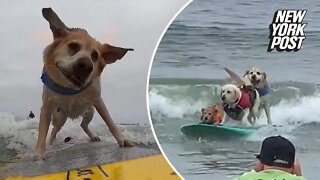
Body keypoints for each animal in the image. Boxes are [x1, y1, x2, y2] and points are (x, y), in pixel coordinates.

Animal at [34, 8, 134, 160]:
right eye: (73, 46)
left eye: (95, 56)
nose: (86, 66)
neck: (70, 88)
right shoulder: (47, 105)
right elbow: (42, 131)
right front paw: (39, 153)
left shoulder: (98, 101)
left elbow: (110, 123)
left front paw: (122, 140)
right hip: (59, 116)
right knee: (54, 130)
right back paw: (51, 143)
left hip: (89, 111)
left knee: (83, 124)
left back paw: (92, 136)